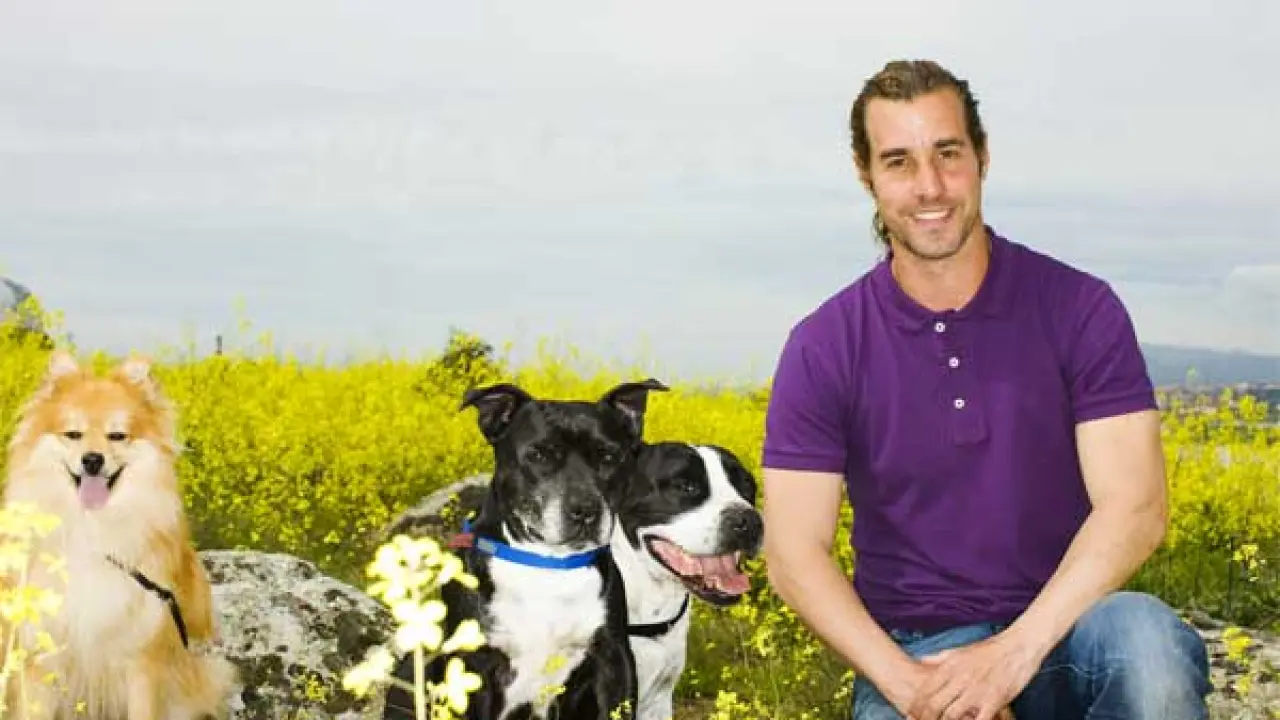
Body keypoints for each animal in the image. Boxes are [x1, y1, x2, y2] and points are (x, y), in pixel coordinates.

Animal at [0, 350, 237, 719]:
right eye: (73, 434)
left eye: (117, 436)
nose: (92, 460)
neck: (91, 528)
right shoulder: (41, 656)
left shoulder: (143, 660)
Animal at [382, 378, 669, 720]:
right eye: (539, 455)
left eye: (609, 457)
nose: (585, 510)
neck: (547, 563)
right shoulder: (477, 666)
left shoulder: (613, 662)